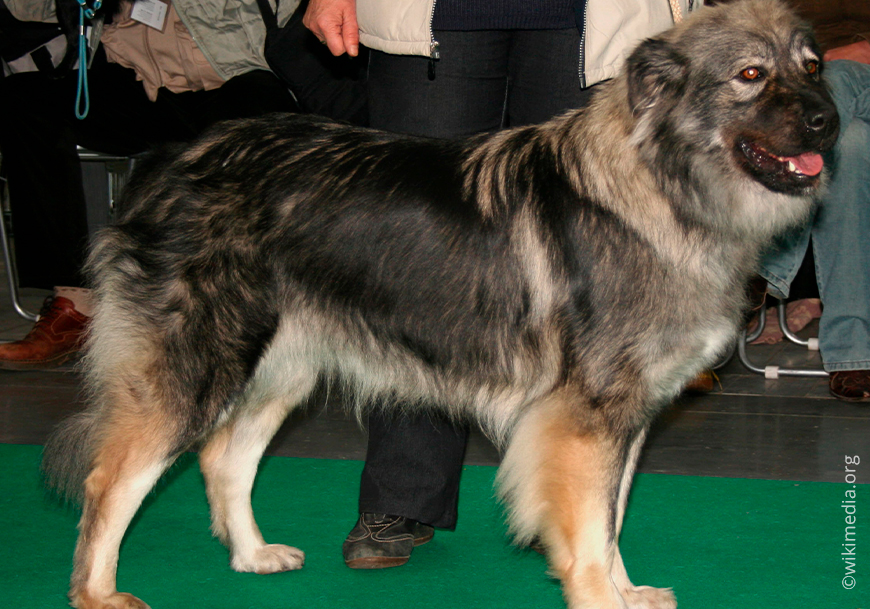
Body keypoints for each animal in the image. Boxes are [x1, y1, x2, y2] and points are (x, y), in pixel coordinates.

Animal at [44, 2, 840, 604]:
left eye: (812, 66)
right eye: (750, 75)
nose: (828, 121)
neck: (663, 186)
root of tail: (167, 161)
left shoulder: (627, 414)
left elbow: (611, 519)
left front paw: (627, 591)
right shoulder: (584, 419)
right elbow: (588, 530)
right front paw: (600, 597)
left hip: (287, 360)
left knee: (222, 457)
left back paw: (252, 554)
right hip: (200, 364)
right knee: (111, 479)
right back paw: (97, 593)